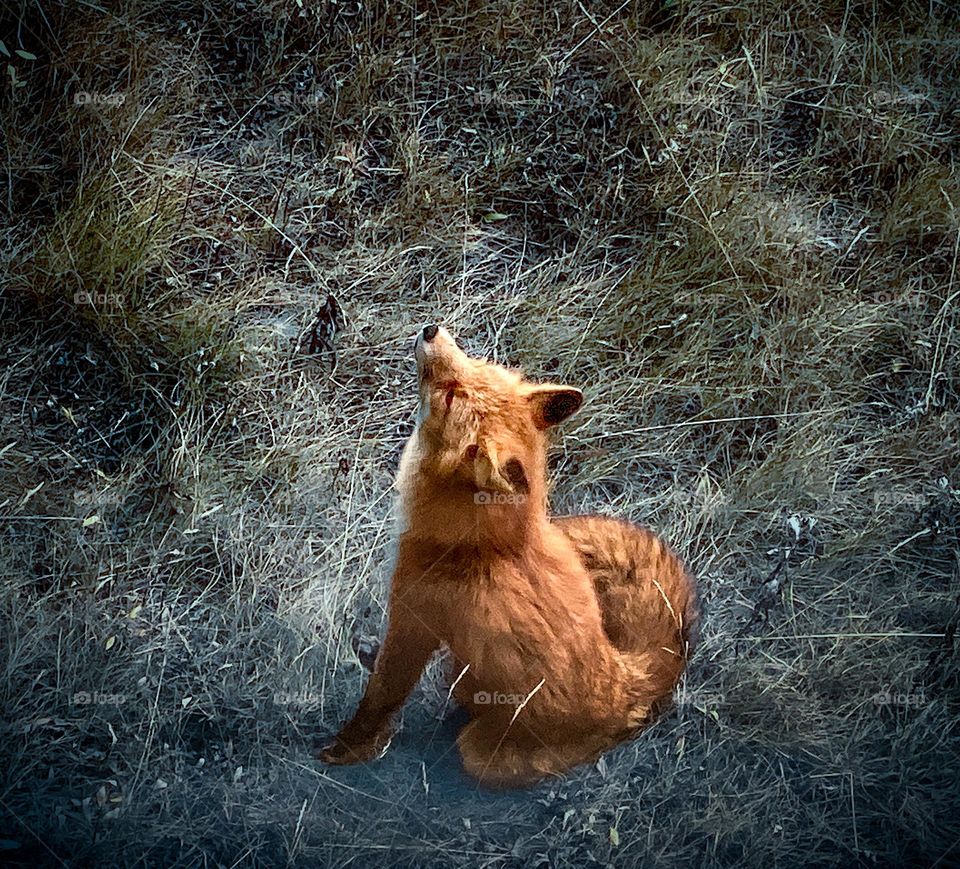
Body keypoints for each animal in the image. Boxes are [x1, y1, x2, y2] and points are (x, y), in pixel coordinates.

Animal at [319, 324, 699, 787]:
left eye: (452, 395)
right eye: (477, 363)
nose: (431, 329)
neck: (487, 544)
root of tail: (629, 686)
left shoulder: (413, 619)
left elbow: (380, 697)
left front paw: (345, 749)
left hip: (479, 749)